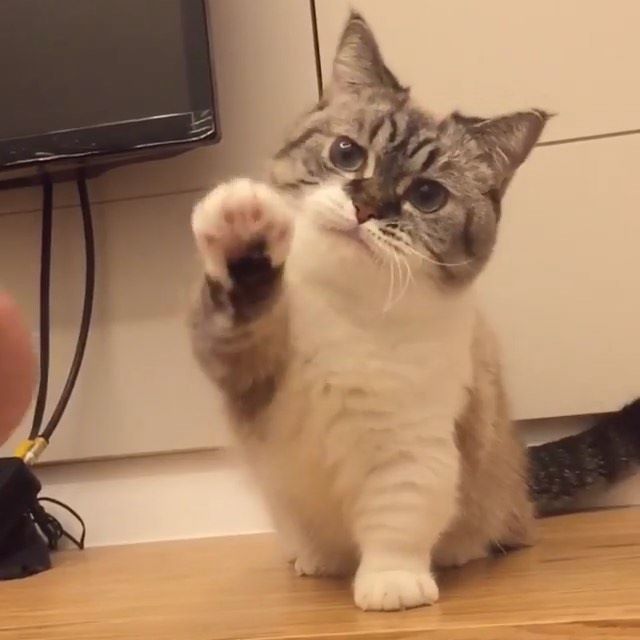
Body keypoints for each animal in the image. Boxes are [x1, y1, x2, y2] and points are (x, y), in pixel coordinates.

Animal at [190, 13, 640, 608]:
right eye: (347, 154)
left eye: (427, 196)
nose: (365, 206)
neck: (346, 308)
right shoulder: (252, 387)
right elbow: (243, 306)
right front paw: (244, 234)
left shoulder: (408, 448)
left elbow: (397, 520)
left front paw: (392, 586)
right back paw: (312, 560)